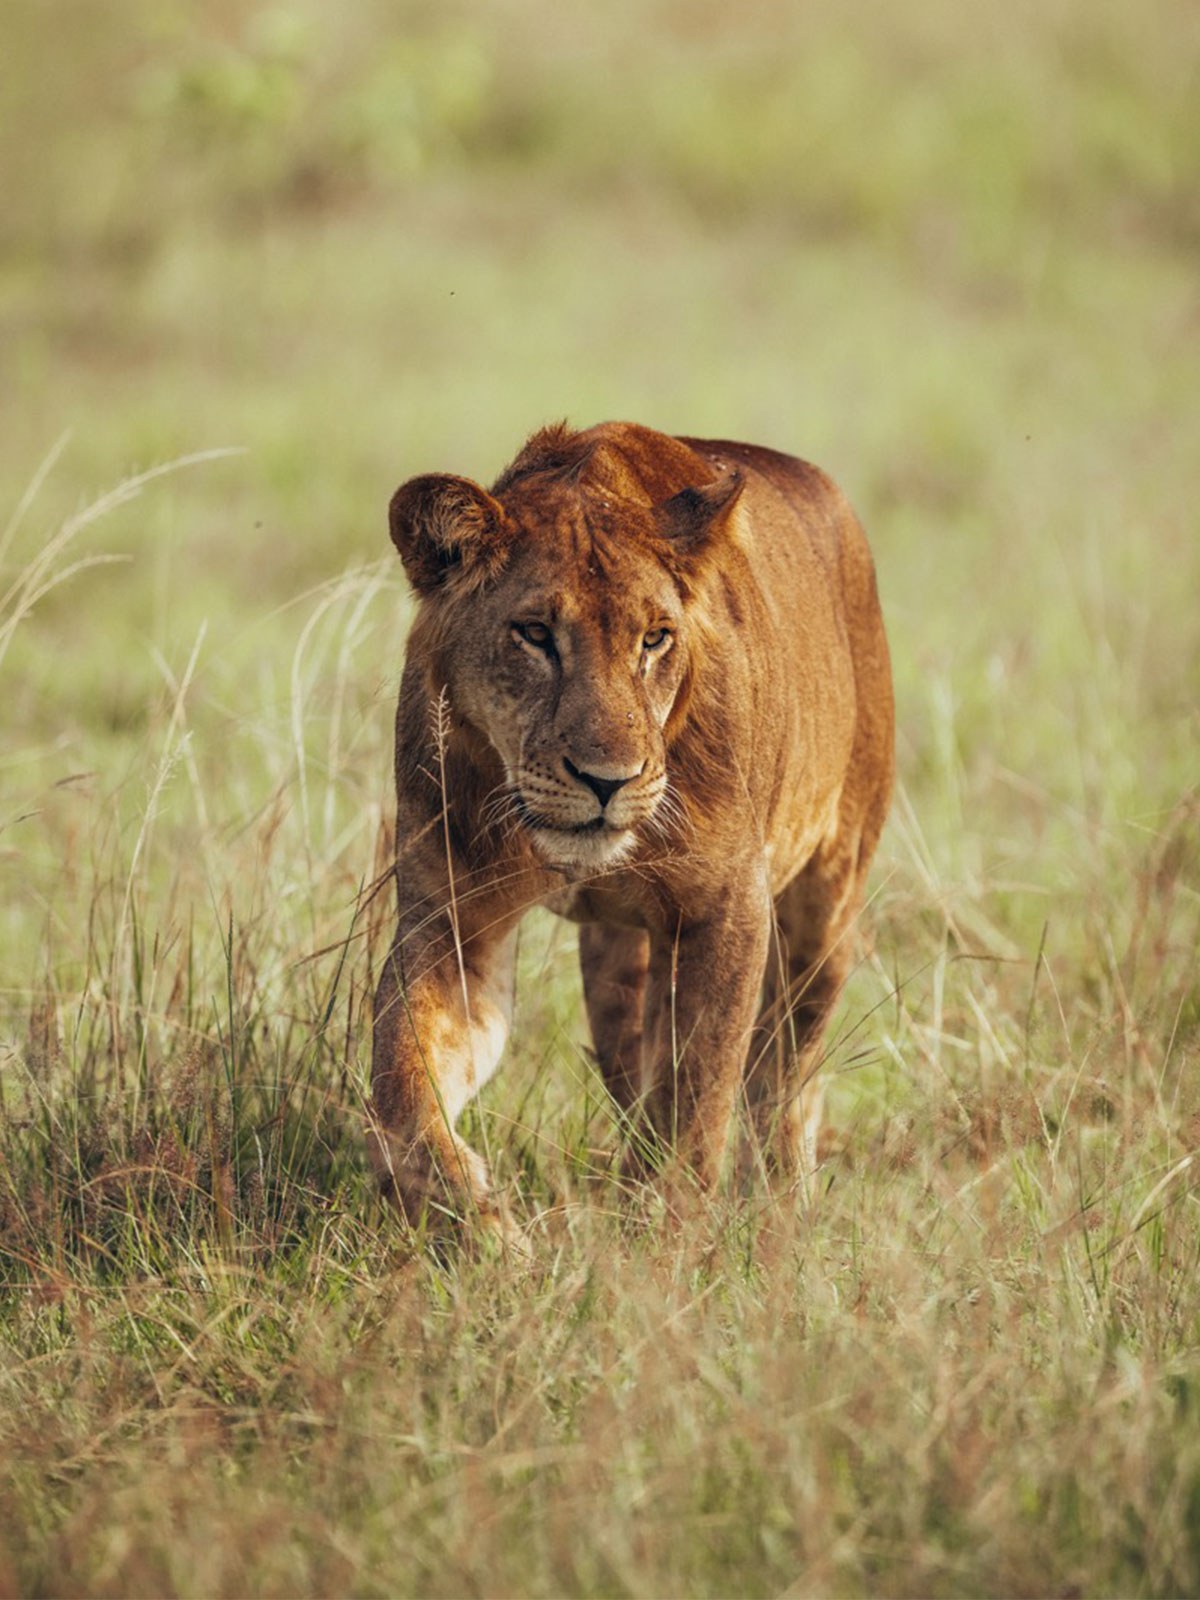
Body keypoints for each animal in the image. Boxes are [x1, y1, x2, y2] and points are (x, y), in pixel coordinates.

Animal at [366, 419, 896, 1228]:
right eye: (533, 633)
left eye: (654, 639)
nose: (606, 781)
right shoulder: (451, 918)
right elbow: (403, 1088)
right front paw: (484, 1229)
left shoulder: (726, 909)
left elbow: (697, 1099)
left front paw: (663, 1245)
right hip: (618, 966)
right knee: (638, 1071)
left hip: (825, 908)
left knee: (783, 1075)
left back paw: (778, 1208)